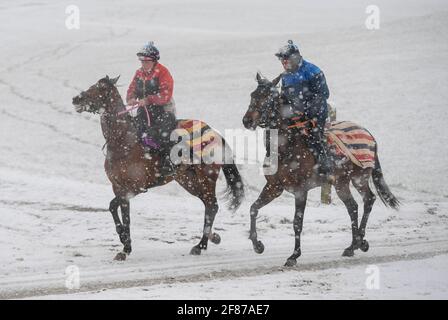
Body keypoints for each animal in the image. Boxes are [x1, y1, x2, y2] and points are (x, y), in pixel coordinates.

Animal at [72, 76, 245, 262]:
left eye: (100, 89)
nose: (76, 99)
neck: (124, 143)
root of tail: (215, 133)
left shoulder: (134, 187)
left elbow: (113, 206)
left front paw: (125, 243)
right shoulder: (118, 187)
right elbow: (122, 215)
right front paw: (125, 246)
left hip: (206, 179)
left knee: (212, 206)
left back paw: (201, 245)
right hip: (189, 181)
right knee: (209, 205)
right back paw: (213, 238)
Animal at [242, 74, 400, 266]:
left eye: (268, 98)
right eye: (253, 95)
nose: (247, 121)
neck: (285, 147)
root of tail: (369, 134)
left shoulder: (300, 190)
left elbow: (297, 222)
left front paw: (294, 256)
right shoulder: (274, 187)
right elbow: (253, 208)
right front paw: (257, 245)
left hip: (359, 177)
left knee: (368, 200)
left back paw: (360, 242)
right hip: (341, 183)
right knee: (353, 206)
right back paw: (353, 245)